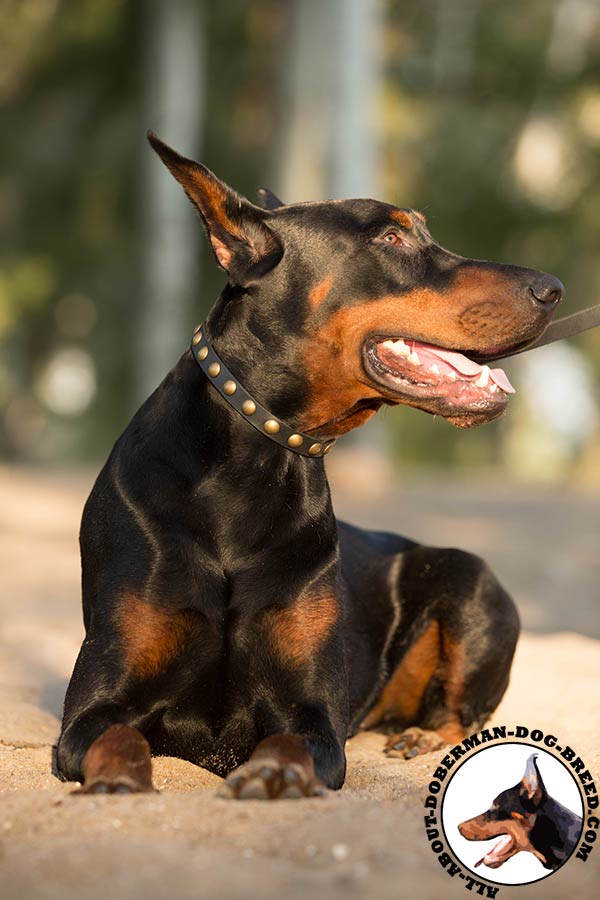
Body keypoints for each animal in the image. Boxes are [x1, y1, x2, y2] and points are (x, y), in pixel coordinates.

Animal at [55, 132, 564, 796]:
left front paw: (272, 775)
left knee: (463, 714)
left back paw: (423, 737)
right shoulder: (92, 707)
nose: (554, 289)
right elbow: (114, 737)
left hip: (471, 579)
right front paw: (118, 779)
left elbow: (290, 743)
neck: (249, 469)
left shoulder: (311, 712)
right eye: (391, 238)